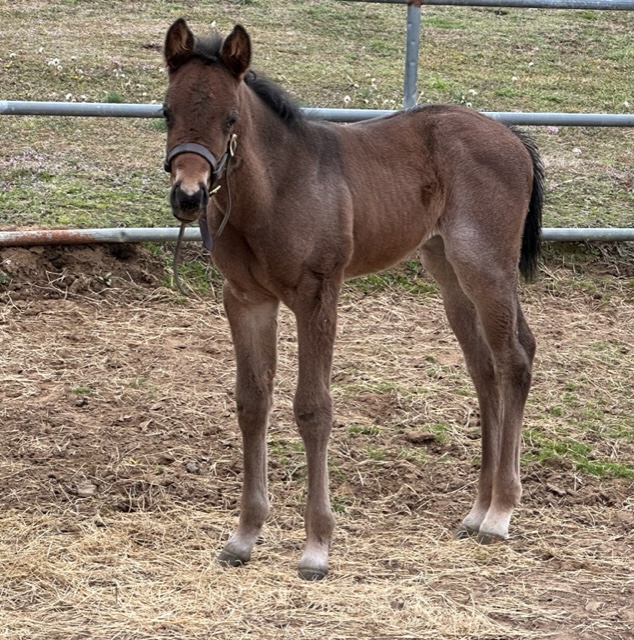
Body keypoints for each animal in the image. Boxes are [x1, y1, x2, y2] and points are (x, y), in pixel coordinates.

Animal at [160, 20, 540, 580]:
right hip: (447, 270)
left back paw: (500, 513)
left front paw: (317, 546)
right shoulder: (246, 299)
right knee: (485, 367)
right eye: (166, 111)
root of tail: (512, 135)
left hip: (485, 265)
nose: (188, 196)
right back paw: (475, 511)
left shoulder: (318, 293)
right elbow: (252, 402)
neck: (276, 189)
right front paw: (244, 537)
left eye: (230, 118)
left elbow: (313, 407)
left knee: (513, 358)